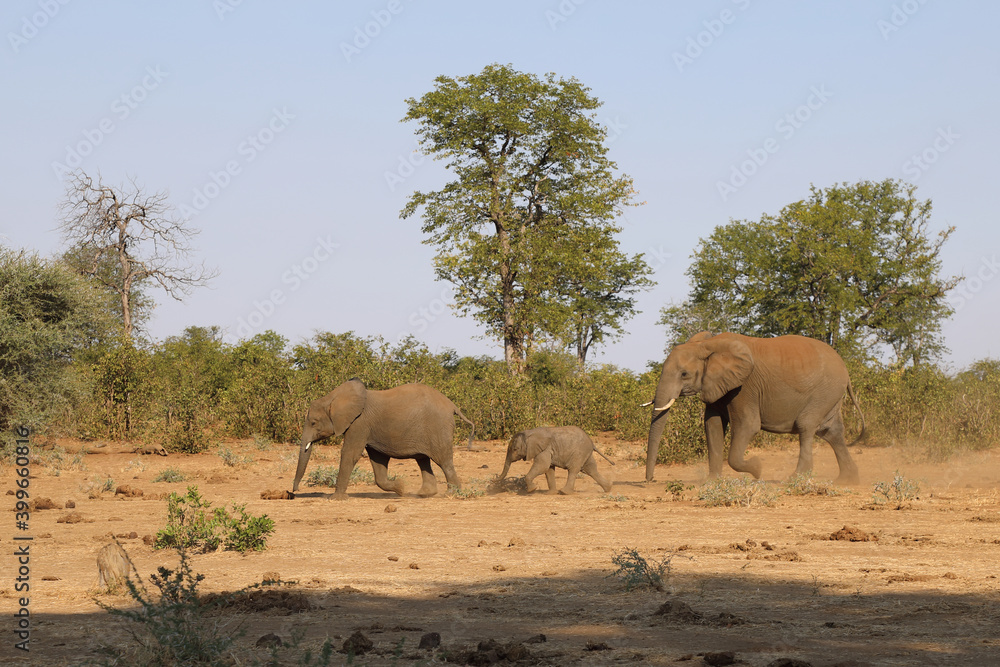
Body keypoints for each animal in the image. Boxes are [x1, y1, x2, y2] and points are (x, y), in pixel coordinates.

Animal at [292, 379, 474, 499]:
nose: (294, 491)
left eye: (313, 422)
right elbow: (377, 460)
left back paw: (452, 493)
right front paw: (400, 488)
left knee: (443, 461)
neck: (333, 397)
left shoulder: (359, 423)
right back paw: (424, 494)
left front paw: (335, 499)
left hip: (438, 428)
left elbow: (350, 454)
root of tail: (452, 405)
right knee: (423, 460)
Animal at [644, 332, 865, 484]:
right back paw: (847, 480)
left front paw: (758, 469)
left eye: (684, 374)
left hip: (825, 391)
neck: (707, 345)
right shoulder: (716, 384)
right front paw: (712, 481)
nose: (650, 480)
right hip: (831, 394)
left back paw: (794, 479)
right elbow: (712, 426)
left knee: (806, 425)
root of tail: (845, 368)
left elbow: (748, 425)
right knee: (831, 432)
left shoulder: (744, 387)